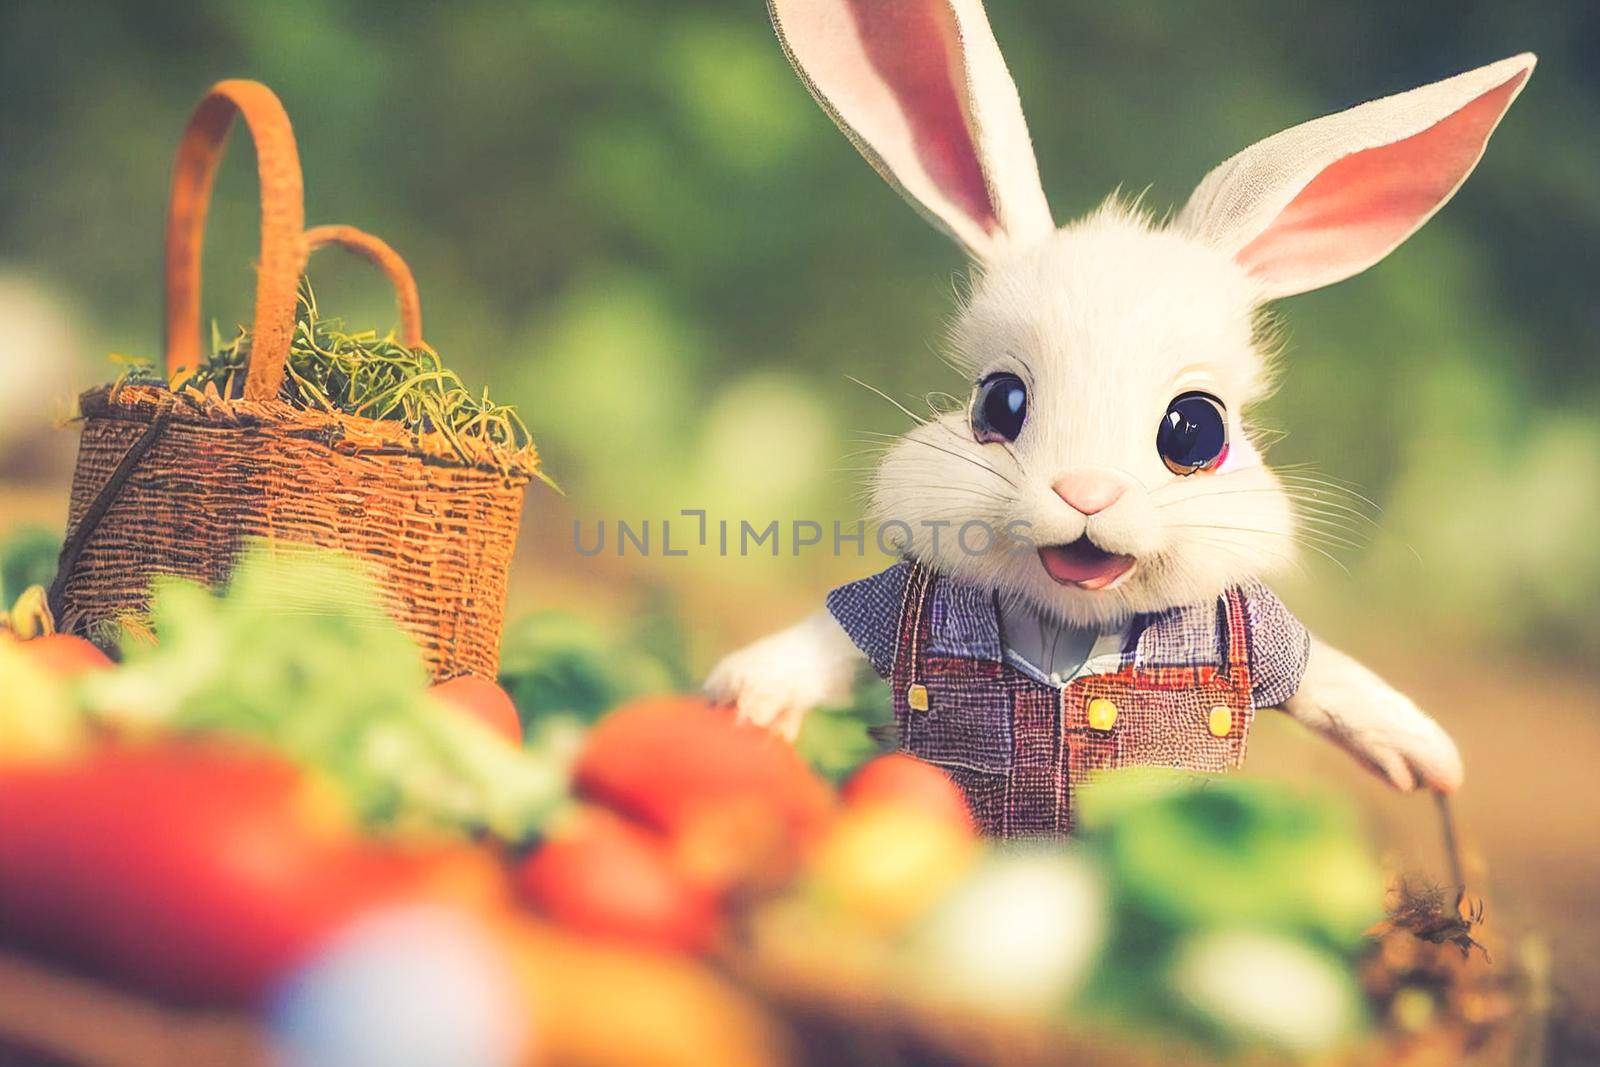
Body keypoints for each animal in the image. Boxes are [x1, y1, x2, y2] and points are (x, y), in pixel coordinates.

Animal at [707, 0, 1529, 825]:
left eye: (1197, 429)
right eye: (998, 401)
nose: (1087, 491)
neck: (1070, 623)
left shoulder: (1265, 633)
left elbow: (1325, 675)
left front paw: (1430, 758)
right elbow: (834, 638)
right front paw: (743, 699)